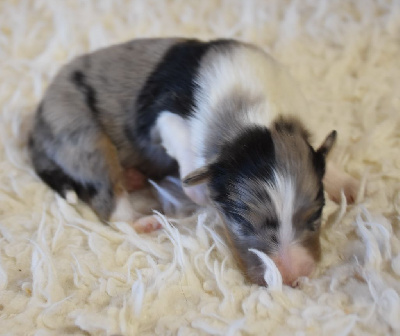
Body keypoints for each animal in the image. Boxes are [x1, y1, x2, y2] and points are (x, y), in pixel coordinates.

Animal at [28, 38, 360, 286]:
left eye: (315, 216)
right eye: (243, 223)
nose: (292, 279)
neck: (258, 117)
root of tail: (36, 125)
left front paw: (343, 182)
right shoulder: (163, 117)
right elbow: (183, 140)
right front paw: (198, 189)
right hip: (82, 134)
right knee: (108, 202)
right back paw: (141, 220)